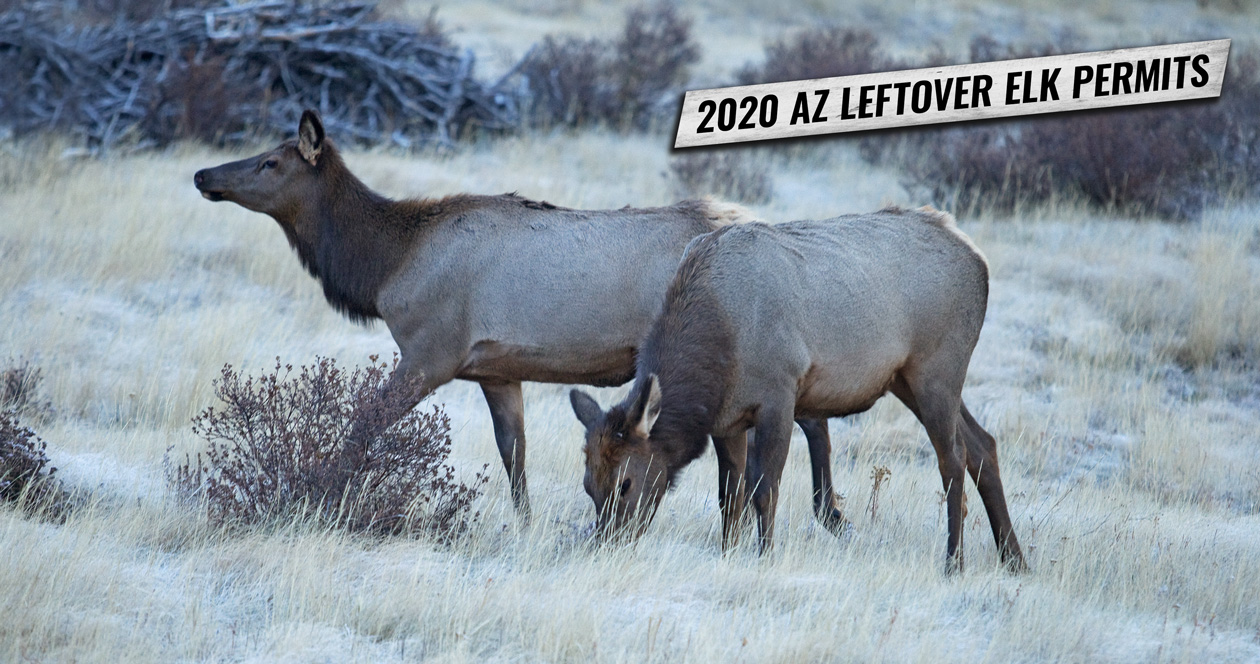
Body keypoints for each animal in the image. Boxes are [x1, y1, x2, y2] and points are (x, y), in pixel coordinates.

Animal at [193, 109, 848, 531]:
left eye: (270, 162)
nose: (203, 174)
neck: (382, 269)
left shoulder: (430, 349)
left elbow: (362, 423)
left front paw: (320, 492)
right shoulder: (495, 369)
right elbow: (515, 452)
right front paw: (525, 522)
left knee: (808, 415)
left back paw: (831, 512)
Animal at [569, 207, 1028, 573]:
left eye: (625, 483)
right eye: (589, 485)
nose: (607, 544)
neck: (717, 350)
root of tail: (979, 260)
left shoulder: (779, 393)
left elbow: (763, 488)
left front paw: (765, 556)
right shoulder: (728, 418)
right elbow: (729, 495)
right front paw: (728, 554)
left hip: (938, 368)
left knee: (954, 458)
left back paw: (954, 562)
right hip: (907, 379)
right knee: (984, 445)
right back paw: (1015, 559)